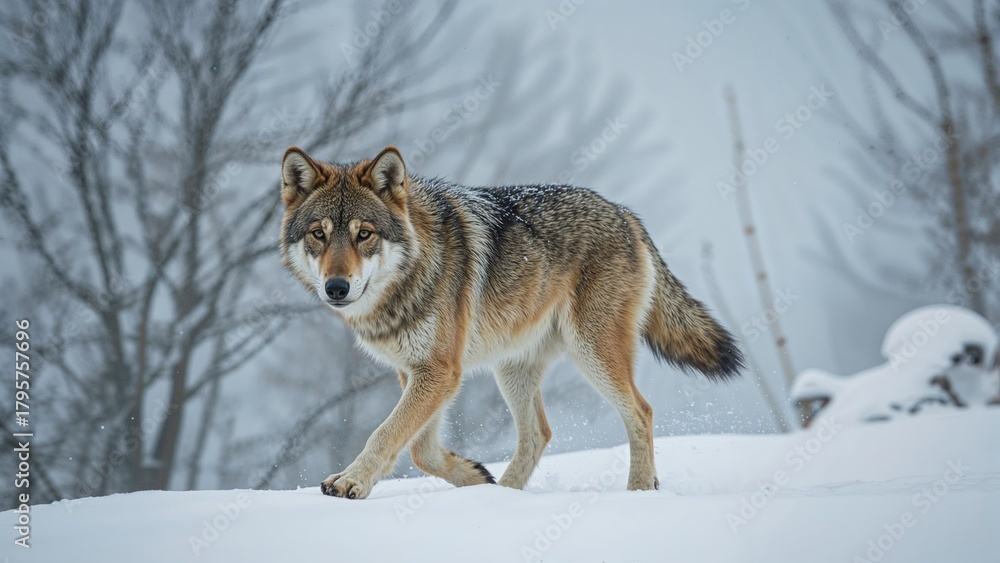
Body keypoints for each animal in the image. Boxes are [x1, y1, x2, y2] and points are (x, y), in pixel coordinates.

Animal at [279, 145, 744, 499]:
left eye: (364, 234)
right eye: (319, 234)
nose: (336, 287)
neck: (412, 274)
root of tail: (624, 213)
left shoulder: (439, 371)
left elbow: (387, 433)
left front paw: (351, 482)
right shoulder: (418, 372)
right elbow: (419, 449)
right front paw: (474, 478)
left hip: (591, 352)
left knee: (641, 412)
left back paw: (639, 493)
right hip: (513, 368)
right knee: (539, 433)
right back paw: (503, 496)